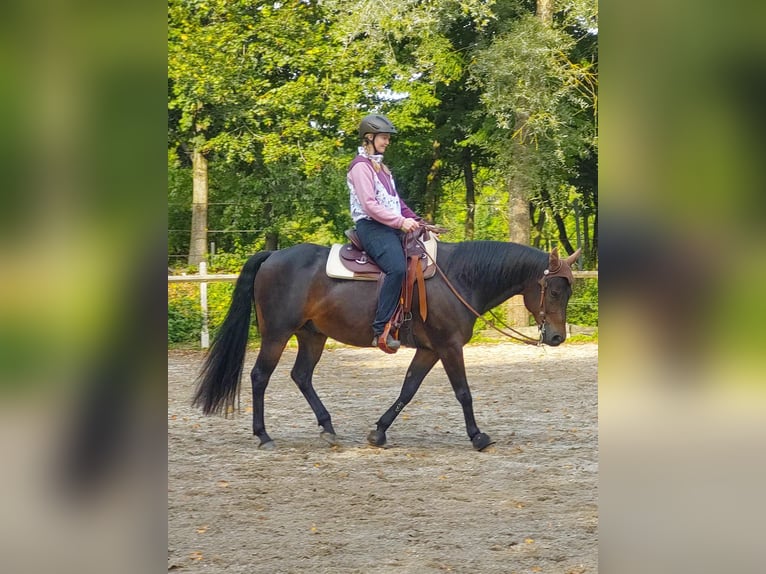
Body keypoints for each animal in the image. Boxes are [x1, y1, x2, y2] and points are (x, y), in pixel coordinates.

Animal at [193, 239, 581, 450]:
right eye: (555, 290)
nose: (557, 337)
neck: (459, 278)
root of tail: (272, 256)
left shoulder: (429, 349)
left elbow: (408, 388)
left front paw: (378, 432)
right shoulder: (449, 346)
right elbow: (463, 392)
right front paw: (478, 436)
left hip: (312, 335)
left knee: (301, 376)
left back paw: (328, 428)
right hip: (276, 334)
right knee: (260, 376)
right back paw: (264, 435)